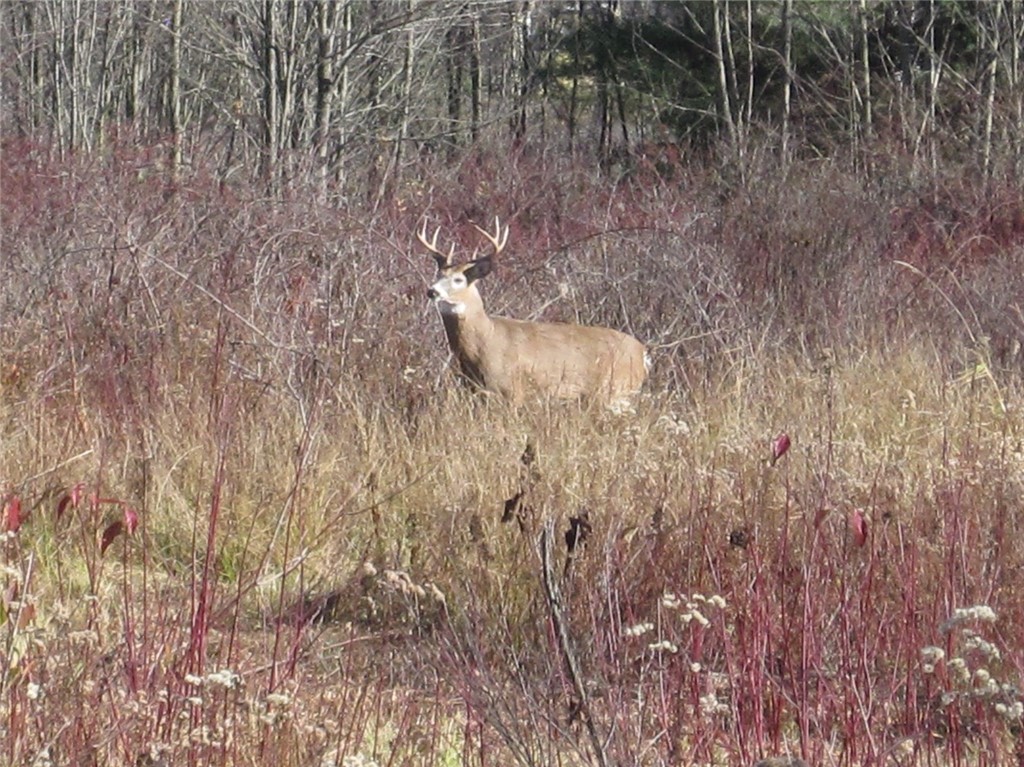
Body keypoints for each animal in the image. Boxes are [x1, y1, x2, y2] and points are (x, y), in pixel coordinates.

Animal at [417, 217, 647, 407]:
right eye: (439, 274)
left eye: (458, 279)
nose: (431, 291)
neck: (485, 341)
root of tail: (643, 354)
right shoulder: (476, 390)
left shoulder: (512, 390)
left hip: (614, 390)